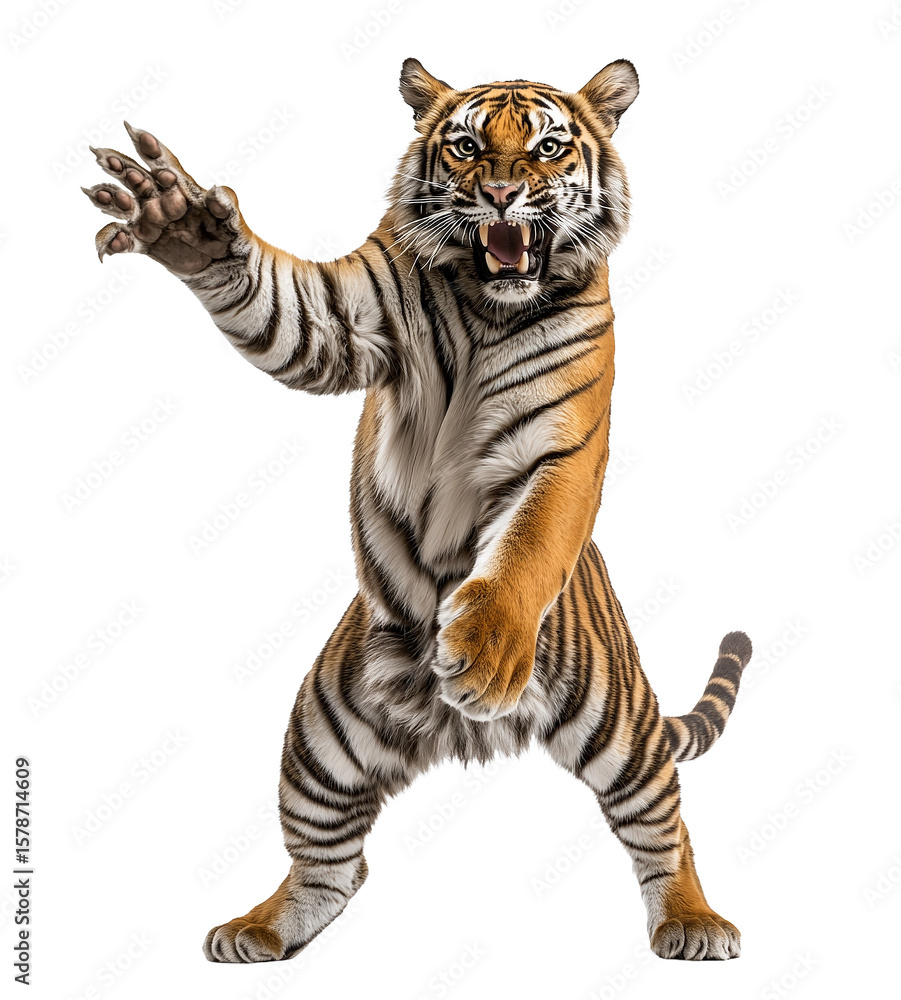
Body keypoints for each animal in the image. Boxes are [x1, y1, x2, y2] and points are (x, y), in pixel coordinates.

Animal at [81, 57, 752, 963]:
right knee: (334, 869)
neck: (488, 301)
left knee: (663, 823)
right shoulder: (346, 319)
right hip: (319, 738)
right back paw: (260, 929)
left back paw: (692, 920)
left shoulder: (560, 448)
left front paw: (487, 650)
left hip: (618, 725)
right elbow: (285, 309)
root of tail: (459, 734)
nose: (500, 193)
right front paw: (178, 220)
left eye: (547, 147)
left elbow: (530, 538)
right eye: (466, 146)